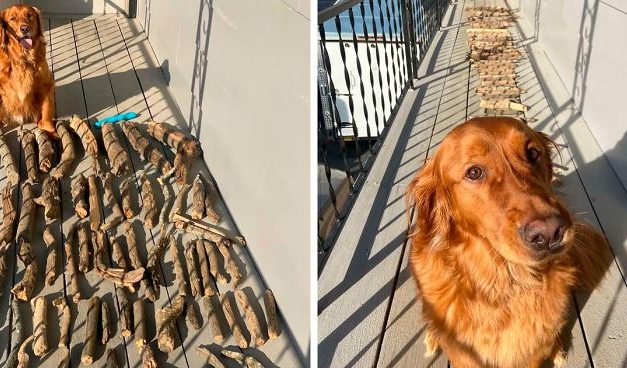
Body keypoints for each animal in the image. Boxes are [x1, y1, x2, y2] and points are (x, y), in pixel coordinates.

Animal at [0, 4, 55, 137]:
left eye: (29, 15)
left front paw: (49, 130)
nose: (25, 29)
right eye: (12, 18)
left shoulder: (45, 84)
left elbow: (46, 109)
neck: (23, 58)